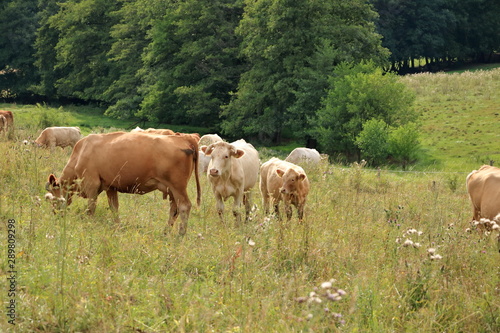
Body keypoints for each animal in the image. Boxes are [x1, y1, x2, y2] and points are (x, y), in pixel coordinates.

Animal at [45, 131, 201, 235]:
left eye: (53, 197)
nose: (55, 213)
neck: (81, 152)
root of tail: (185, 138)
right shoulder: (110, 186)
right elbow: (114, 208)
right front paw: (117, 227)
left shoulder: (91, 184)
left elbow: (91, 207)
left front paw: (88, 223)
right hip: (172, 189)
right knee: (174, 209)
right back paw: (166, 232)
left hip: (178, 186)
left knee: (184, 207)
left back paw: (180, 235)